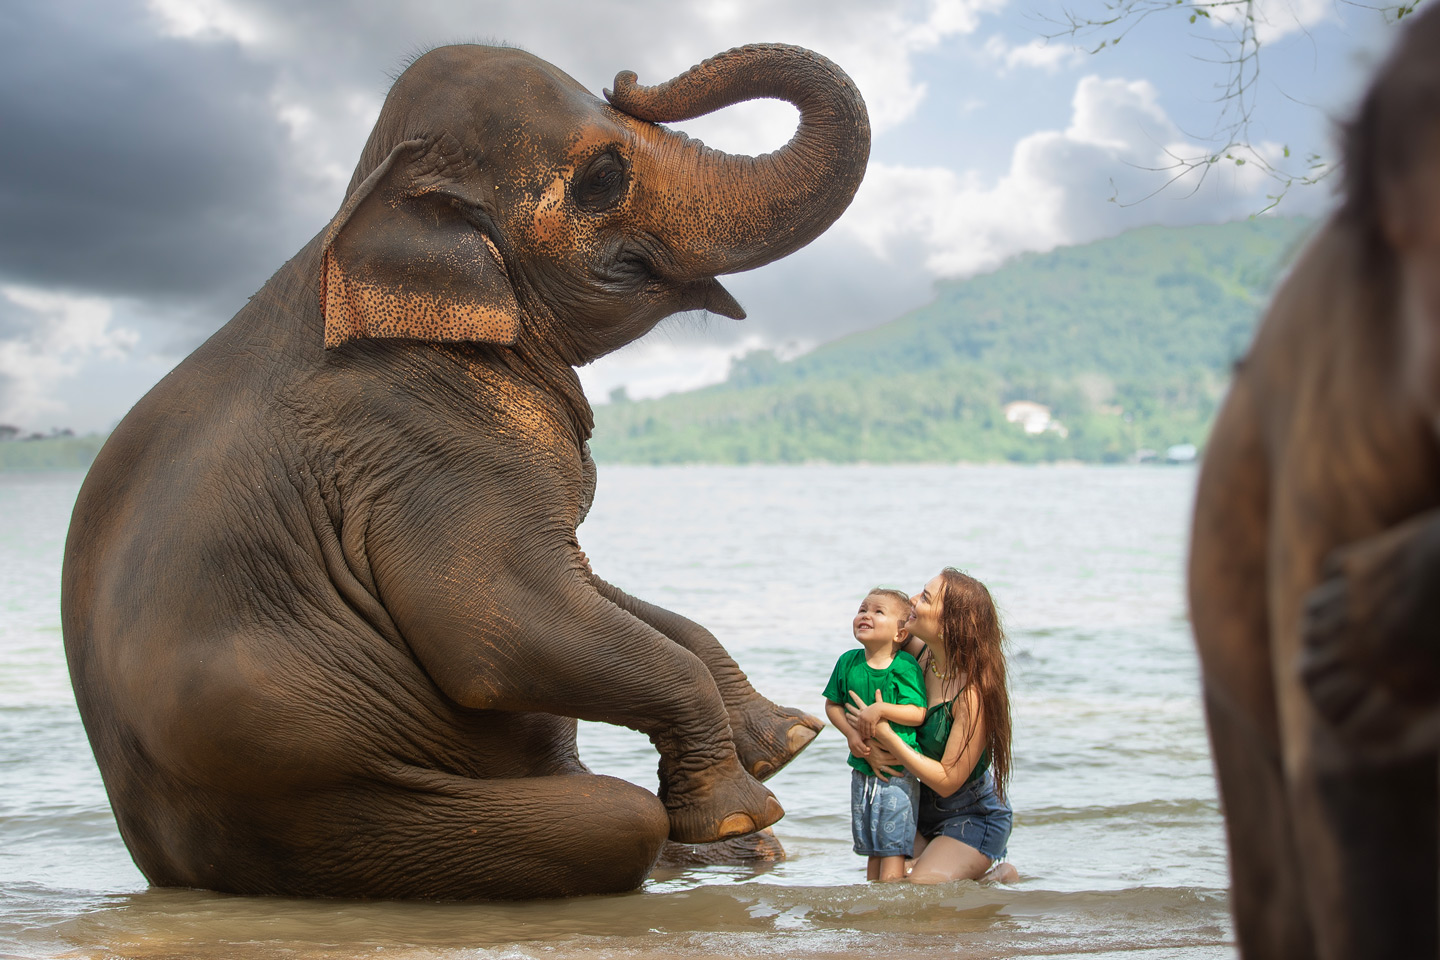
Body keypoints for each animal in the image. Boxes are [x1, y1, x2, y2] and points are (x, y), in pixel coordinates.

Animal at [61, 43, 869, 903]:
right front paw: (743, 807)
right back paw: (734, 842)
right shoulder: (427, 446)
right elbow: (497, 628)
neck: (359, 208)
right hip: (339, 820)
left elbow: (595, 596)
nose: (629, 78)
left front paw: (786, 740)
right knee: (618, 820)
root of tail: (157, 861)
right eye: (604, 177)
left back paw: (747, 857)